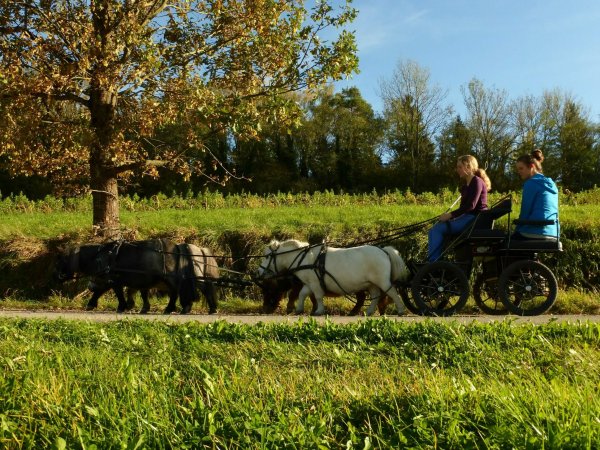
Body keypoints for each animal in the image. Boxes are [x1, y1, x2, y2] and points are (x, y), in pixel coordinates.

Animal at [54, 239, 197, 312]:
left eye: (62, 260)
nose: (57, 276)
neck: (100, 255)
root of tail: (176, 246)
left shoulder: (111, 280)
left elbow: (116, 293)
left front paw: (122, 306)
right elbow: (132, 292)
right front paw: (134, 306)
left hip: (169, 278)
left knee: (175, 292)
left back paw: (174, 307)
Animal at [255, 239, 410, 316]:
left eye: (267, 256)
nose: (258, 272)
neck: (304, 258)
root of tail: (383, 250)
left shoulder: (315, 283)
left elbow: (317, 297)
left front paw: (319, 311)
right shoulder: (309, 283)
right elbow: (302, 294)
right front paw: (299, 309)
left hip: (382, 281)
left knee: (393, 293)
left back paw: (401, 310)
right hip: (371, 283)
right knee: (375, 296)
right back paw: (369, 311)